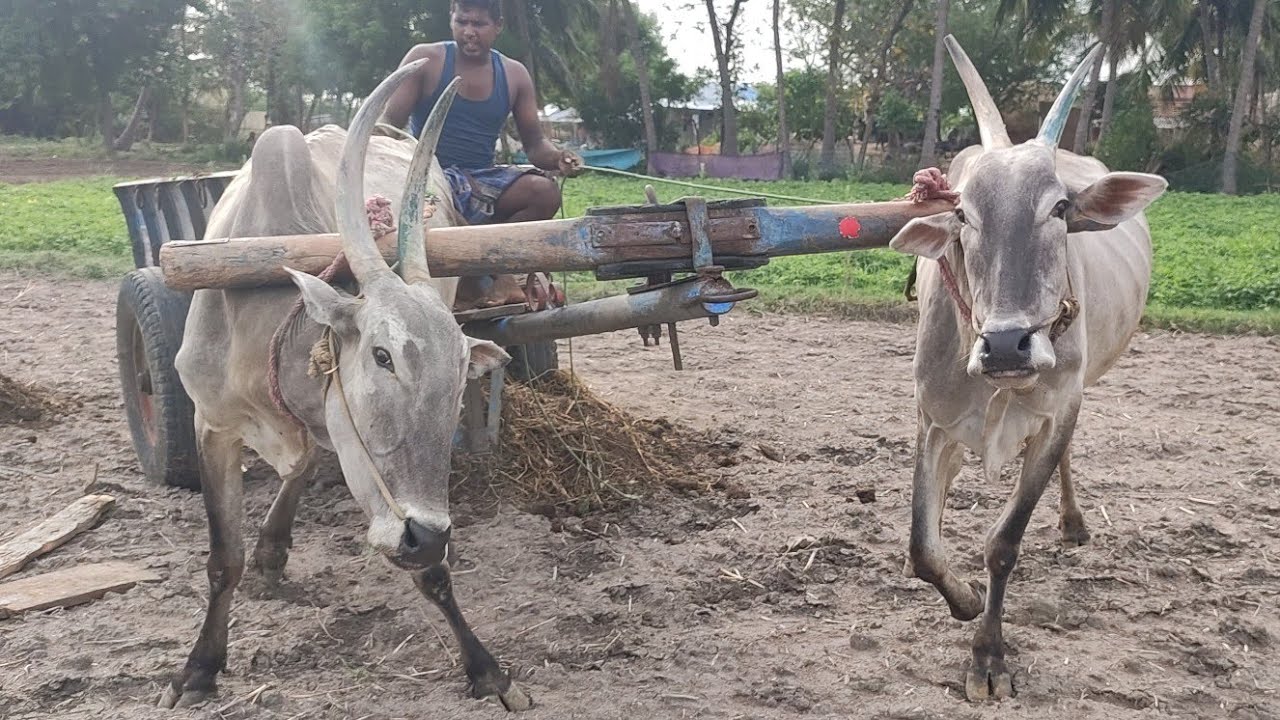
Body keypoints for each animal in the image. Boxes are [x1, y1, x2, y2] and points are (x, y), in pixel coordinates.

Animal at [160, 61, 530, 711]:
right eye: (382, 355)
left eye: (461, 373)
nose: (424, 535)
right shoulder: (213, 425)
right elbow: (223, 558)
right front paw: (199, 668)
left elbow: (433, 574)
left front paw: (484, 667)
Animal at [887, 36, 1168, 701]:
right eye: (962, 213)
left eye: (1060, 206)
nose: (1007, 346)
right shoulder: (932, 420)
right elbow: (923, 547)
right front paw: (963, 598)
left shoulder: (1056, 413)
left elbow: (1004, 544)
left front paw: (987, 655)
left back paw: (1072, 523)